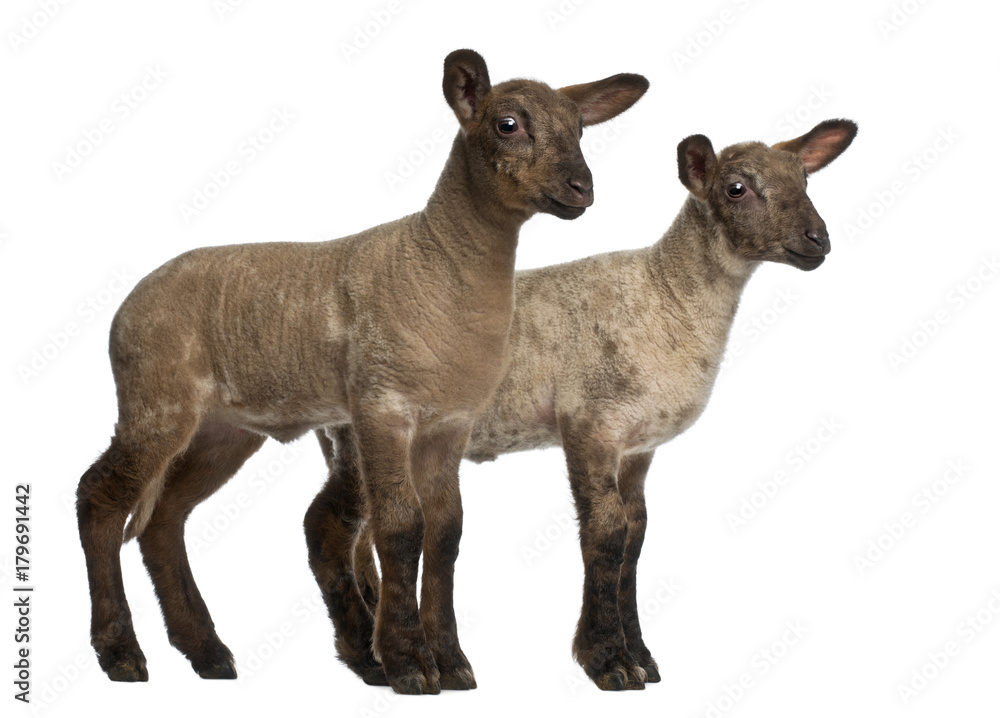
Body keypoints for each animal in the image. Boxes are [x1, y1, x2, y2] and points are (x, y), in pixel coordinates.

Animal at [75, 48, 649, 695]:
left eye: (580, 129)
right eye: (508, 124)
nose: (582, 188)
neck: (439, 261)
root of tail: (127, 305)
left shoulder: (449, 423)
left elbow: (446, 533)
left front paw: (451, 661)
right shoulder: (382, 406)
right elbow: (400, 527)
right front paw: (409, 662)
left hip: (223, 428)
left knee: (163, 518)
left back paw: (208, 653)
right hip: (155, 396)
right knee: (99, 497)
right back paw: (121, 652)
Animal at [328, 119, 857, 691]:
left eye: (805, 178)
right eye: (736, 188)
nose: (818, 240)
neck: (668, 297)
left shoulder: (638, 446)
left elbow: (636, 537)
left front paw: (640, 655)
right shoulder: (591, 420)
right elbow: (607, 533)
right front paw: (608, 660)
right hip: (372, 425)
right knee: (332, 529)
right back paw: (376, 657)